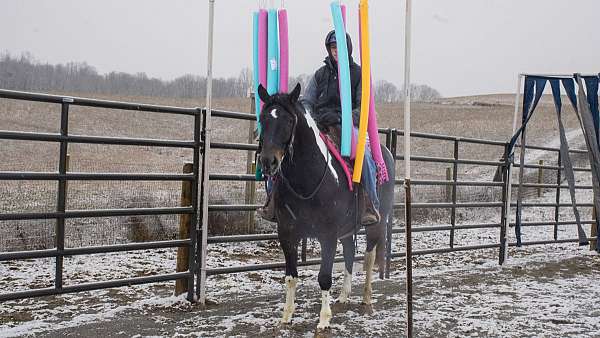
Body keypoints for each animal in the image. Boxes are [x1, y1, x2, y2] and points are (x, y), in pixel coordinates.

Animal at [256, 83, 394, 328]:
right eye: (263, 118)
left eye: (289, 120)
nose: (268, 161)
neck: (307, 181)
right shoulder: (287, 233)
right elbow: (290, 276)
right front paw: (286, 315)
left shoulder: (327, 234)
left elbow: (324, 277)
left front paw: (323, 319)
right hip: (347, 229)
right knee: (349, 254)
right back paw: (344, 295)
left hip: (377, 223)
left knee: (368, 257)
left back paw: (366, 298)